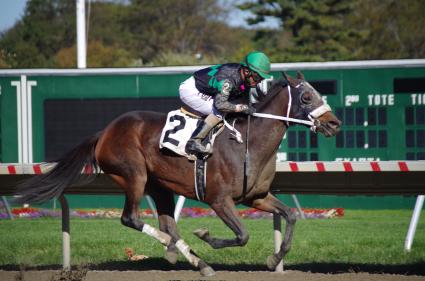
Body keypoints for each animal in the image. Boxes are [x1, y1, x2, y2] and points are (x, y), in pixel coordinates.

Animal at [16, 71, 340, 274]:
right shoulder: (219, 200)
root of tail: (105, 132)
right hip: (133, 176)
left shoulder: (256, 197)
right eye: (307, 97)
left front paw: (274, 260)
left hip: (159, 185)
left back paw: (197, 262)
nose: (334, 123)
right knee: (132, 219)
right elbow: (242, 235)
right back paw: (176, 249)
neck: (248, 142)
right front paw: (205, 234)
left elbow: (290, 215)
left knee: (168, 224)